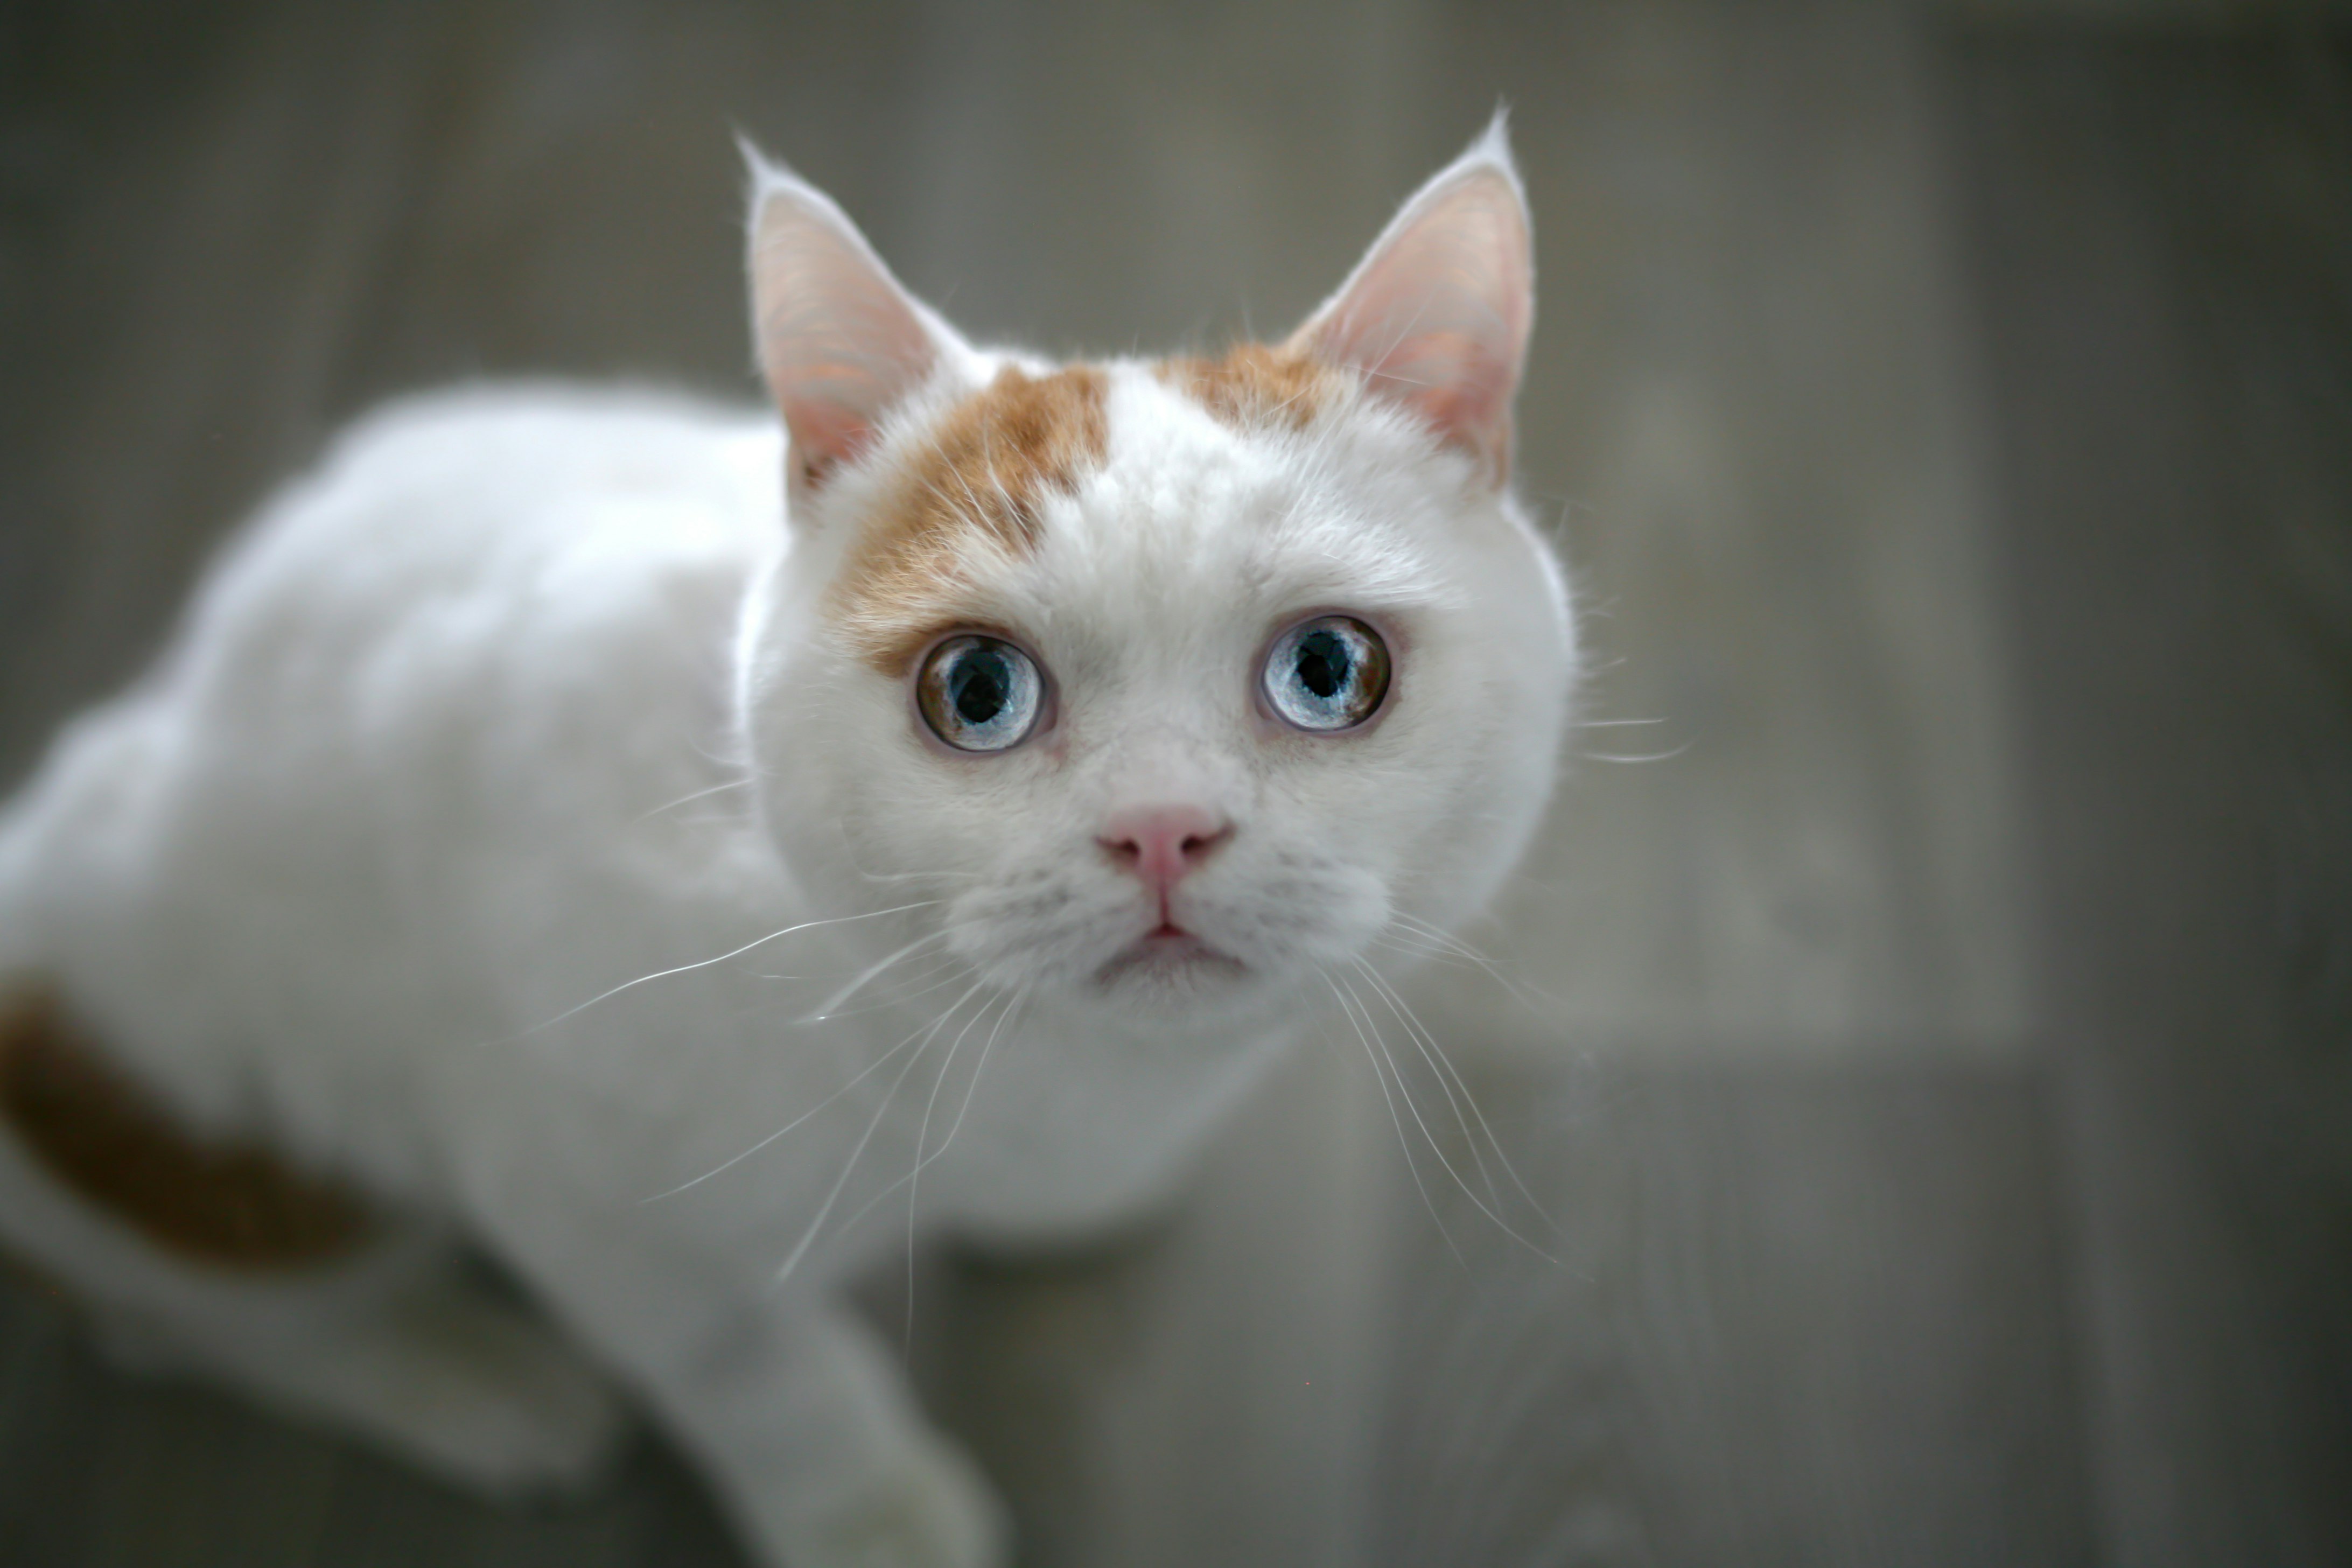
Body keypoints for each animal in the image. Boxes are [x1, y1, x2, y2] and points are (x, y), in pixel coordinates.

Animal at [0, 120, 1580, 1568]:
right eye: (977, 691)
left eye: (1327, 669)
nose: (1159, 828)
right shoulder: (589, 1194)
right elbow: (765, 1377)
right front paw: (873, 1515)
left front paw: (1070, 1204)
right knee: (179, 1304)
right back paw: (455, 1371)